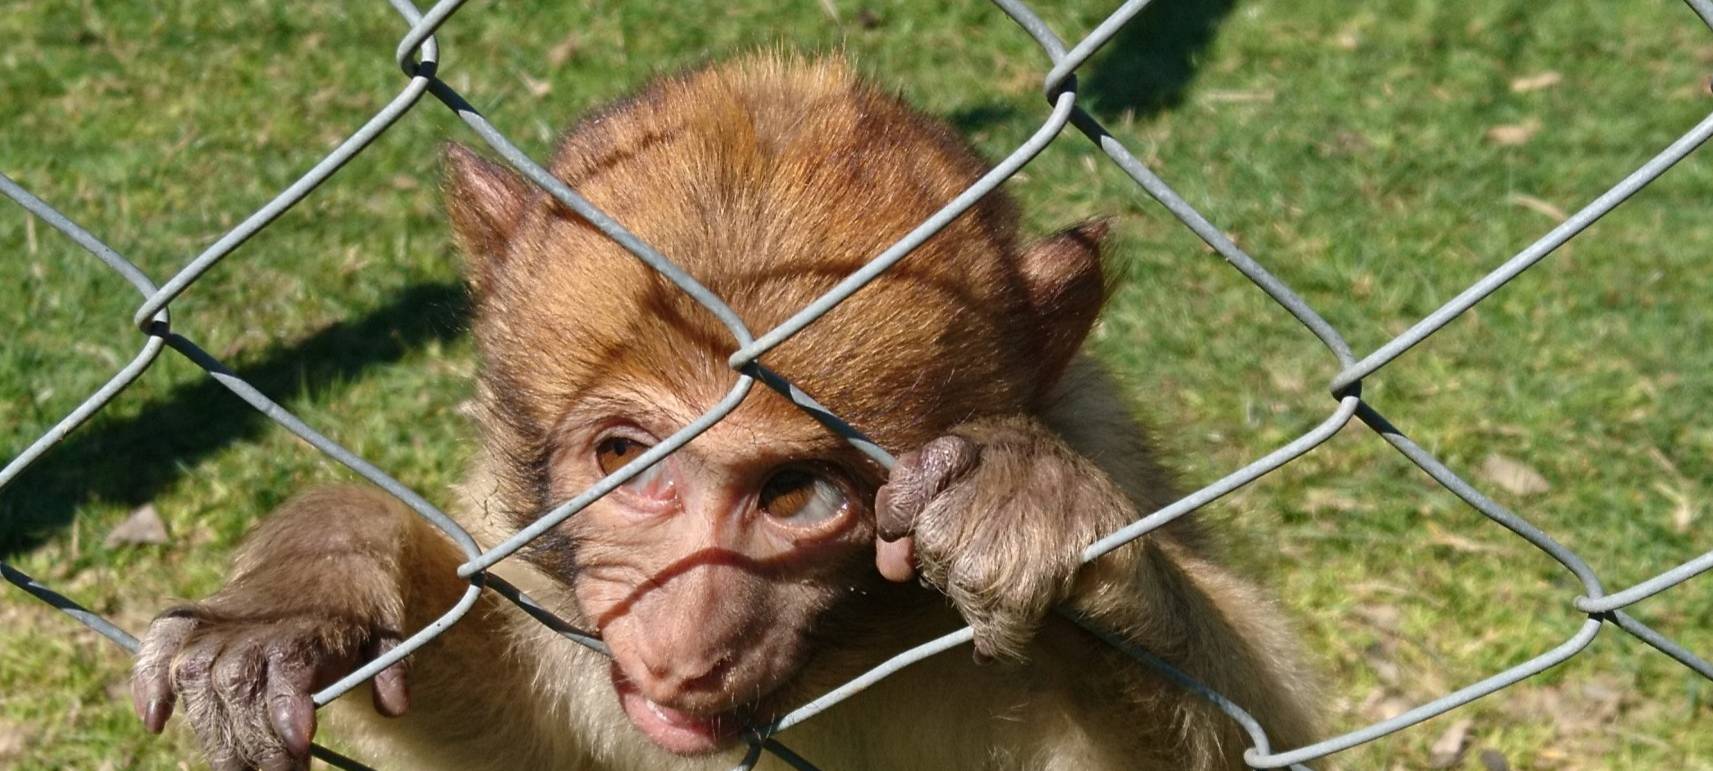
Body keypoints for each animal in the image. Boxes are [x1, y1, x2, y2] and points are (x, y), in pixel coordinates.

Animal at [128, 54, 1319, 771]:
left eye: (798, 493)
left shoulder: (1100, 431)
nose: (683, 649)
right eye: (624, 455)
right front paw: (311, 578)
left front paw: (1031, 502)